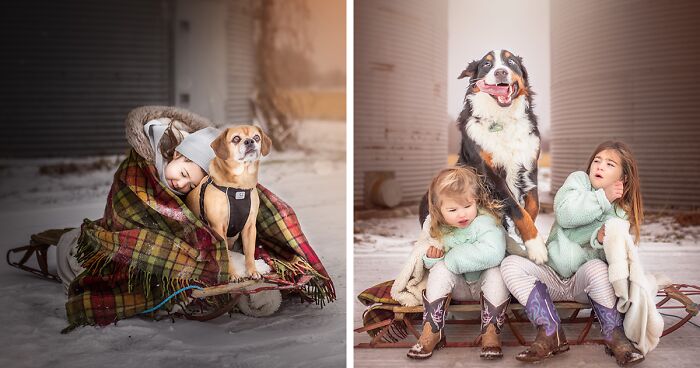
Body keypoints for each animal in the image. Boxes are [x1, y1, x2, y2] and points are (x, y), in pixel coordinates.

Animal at [186, 125, 270, 280]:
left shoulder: (250, 227)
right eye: (236, 138)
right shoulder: (219, 228)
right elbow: (225, 256)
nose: (249, 141)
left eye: (256, 137)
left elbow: (249, 252)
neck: (239, 187)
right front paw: (231, 274)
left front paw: (252, 271)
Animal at [422, 49, 548, 264]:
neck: (502, 119)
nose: (500, 72)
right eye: (487, 64)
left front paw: (525, 236)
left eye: (511, 62)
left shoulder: (530, 166)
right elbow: (517, 209)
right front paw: (536, 246)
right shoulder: (491, 174)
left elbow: (533, 206)